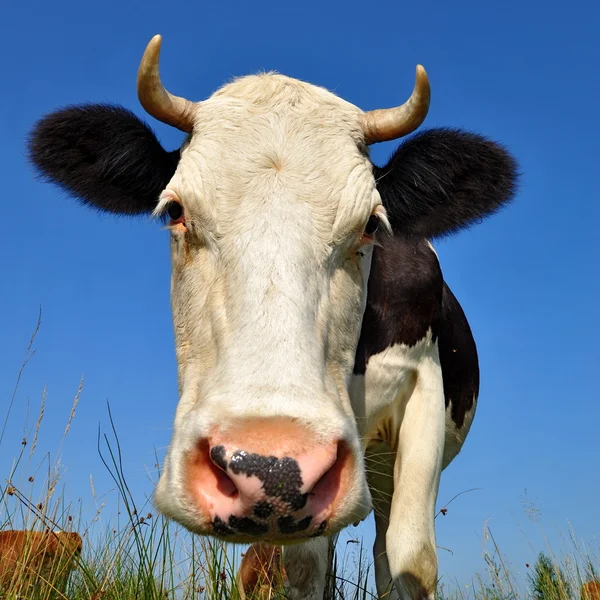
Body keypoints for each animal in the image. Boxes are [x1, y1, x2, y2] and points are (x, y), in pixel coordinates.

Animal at [27, 35, 516, 596]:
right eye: (174, 211)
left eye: (372, 223)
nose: (269, 467)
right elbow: (304, 567)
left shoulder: (424, 390)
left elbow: (412, 558)